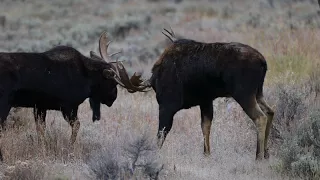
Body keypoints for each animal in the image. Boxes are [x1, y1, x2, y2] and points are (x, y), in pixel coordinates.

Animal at [0, 31, 144, 145]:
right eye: (113, 82)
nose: (113, 98)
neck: (87, 78)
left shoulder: (40, 106)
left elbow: (41, 129)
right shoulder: (69, 106)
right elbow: (76, 126)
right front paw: (70, 145)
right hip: (5, 103)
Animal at [112, 28, 276, 160]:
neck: (155, 79)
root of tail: (263, 62)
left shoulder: (167, 104)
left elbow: (161, 133)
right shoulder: (206, 100)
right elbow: (205, 127)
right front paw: (206, 154)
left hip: (243, 93)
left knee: (260, 117)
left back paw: (258, 156)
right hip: (258, 92)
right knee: (270, 111)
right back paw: (266, 153)